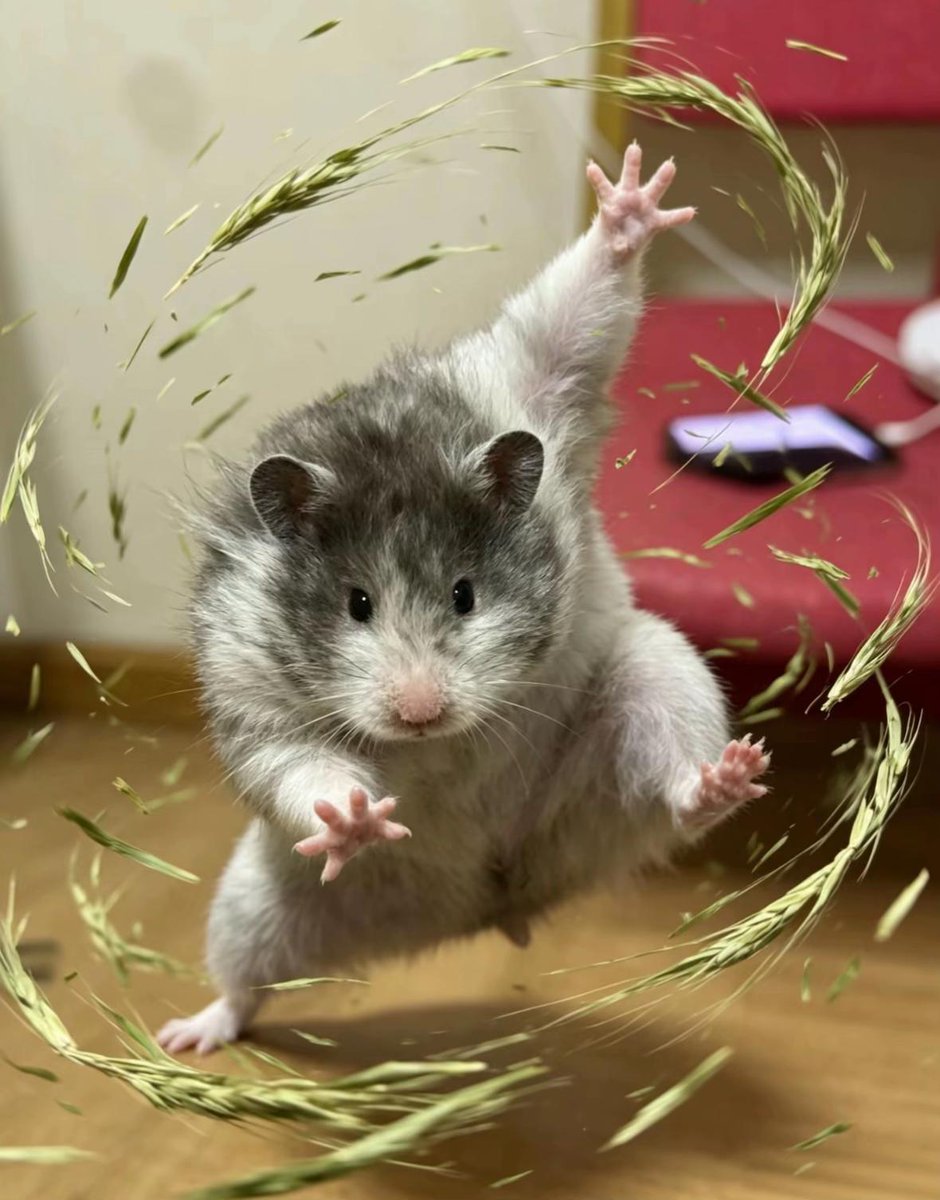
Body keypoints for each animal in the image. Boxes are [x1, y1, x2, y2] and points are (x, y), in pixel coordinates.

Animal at [158, 143, 769, 1055]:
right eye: (357, 603)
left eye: (464, 594)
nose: (420, 715)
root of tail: (487, 901)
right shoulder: (256, 711)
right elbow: (306, 769)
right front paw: (358, 819)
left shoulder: (536, 376)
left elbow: (579, 306)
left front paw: (630, 197)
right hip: (256, 899)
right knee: (245, 984)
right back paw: (188, 1037)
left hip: (652, 682)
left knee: (680, 795)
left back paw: (730, 774)